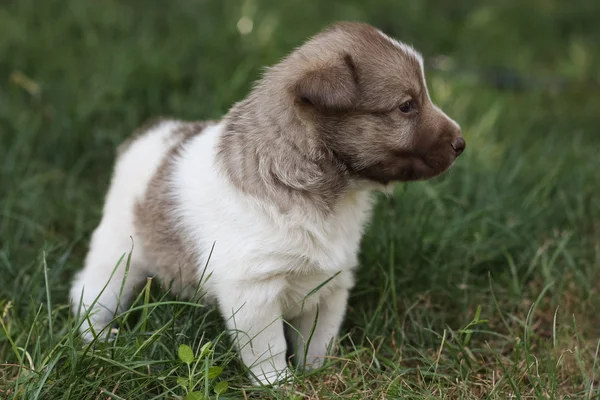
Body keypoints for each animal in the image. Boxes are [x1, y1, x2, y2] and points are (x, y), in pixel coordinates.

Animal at [69, 21, 464, 384]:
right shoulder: (254, 292)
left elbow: (319, 338)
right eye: (406, 106)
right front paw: (279, 383)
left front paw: (319, 373)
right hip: (118, 258)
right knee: (89, 295)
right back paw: (98, 339)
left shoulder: (330, 286)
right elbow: (269, 347)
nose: (461, 143)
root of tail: (150, 134)